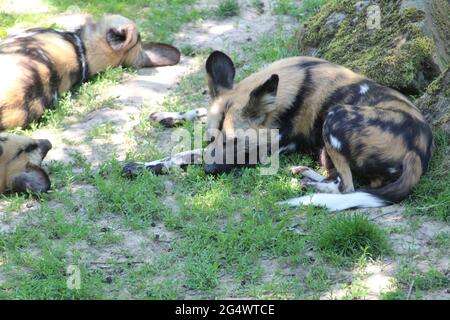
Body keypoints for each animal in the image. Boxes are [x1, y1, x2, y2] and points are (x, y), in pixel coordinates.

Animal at [125, 51, 434, 211]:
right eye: (212, 137)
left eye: (236, 143)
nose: (210, 171)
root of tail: (418, 152)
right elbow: (199, 113)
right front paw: (168, 116)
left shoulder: (261, 154)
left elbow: (185, 155)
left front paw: (143, 165)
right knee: (341, 180)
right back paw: (308, 175)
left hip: (335, 116)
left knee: (346, 187)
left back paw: (311, 186)